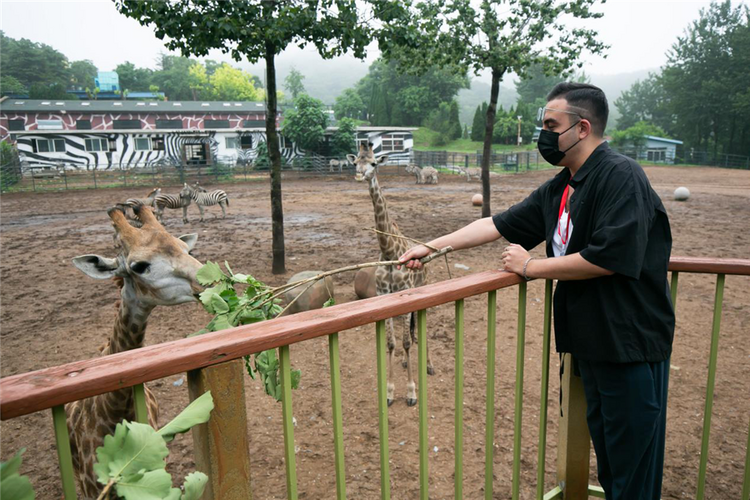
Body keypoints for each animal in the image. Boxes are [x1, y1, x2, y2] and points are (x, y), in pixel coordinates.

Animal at [346, 142, 434, 406]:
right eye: (356, 162)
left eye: (374, 163)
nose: (359, 175)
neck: (389, 250)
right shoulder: (384, 294)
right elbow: (393, 343)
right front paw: (390, 392)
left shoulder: (406, 292)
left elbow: (405, 341)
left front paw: (412, 392)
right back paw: (406, 362)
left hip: (423, 288)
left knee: (422, 331)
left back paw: (428, 365)